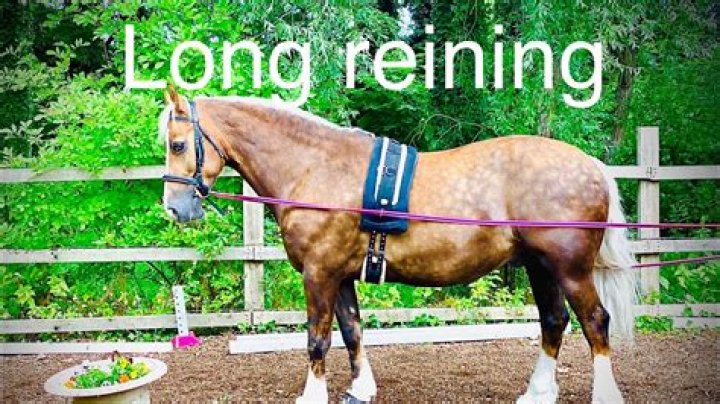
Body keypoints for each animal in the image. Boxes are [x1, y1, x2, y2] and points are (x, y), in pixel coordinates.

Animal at [159, 87, 636, 403]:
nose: (174, 208)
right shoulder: (341, 275)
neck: (315, 167)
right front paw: (360, 389)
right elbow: (351, 331)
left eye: (178, 143)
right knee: (555, 322)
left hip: (570, 270)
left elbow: (317, 339)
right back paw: (537, 393)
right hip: (541, 268)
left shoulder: (319, 273)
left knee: (595, 323)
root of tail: (591, 165)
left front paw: (312, 395)